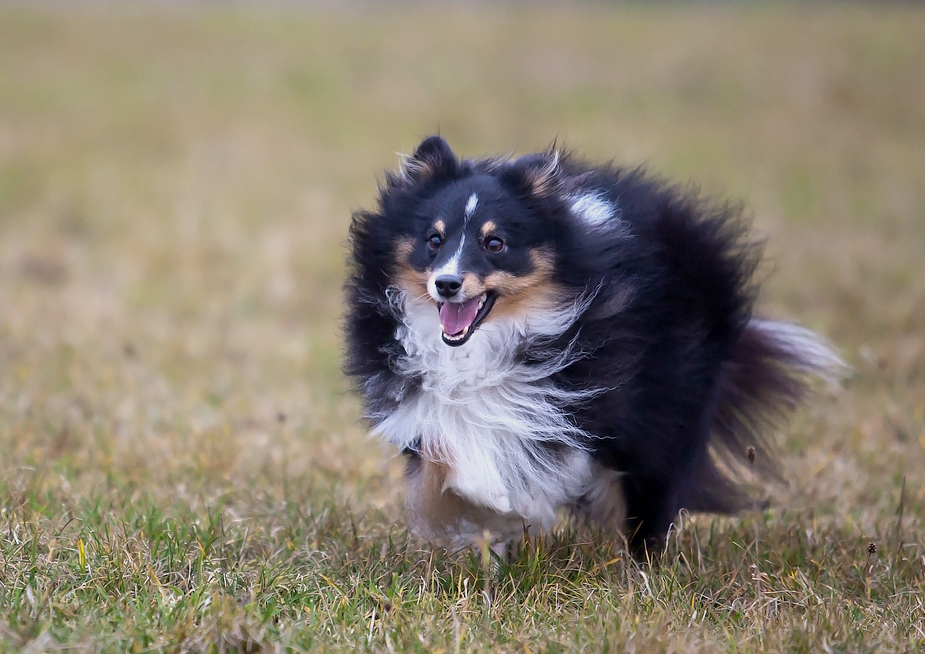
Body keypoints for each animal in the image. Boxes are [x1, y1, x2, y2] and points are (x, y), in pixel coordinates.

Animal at [344, 137, 836, 552]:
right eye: (434, 239)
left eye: (495, 243)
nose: (445, 284)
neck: (485, 344)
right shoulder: (424, 406)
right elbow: (441, 465)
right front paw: (478, 516)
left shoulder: (577, 395)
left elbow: (536, 457)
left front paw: (510, 505)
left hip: (668, 408)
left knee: (651, 490)